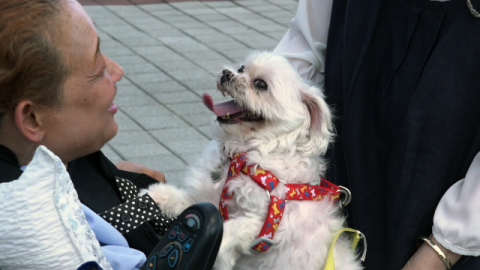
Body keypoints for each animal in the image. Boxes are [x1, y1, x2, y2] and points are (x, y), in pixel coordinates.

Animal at [146, 51, 364, 268]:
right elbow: (188, 201)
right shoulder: (208, 199)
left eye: (260, 84)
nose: (227, 74)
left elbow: (230, 230)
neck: (241, 155)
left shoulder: (268, 223)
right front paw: (156, 195)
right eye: (241, 68)